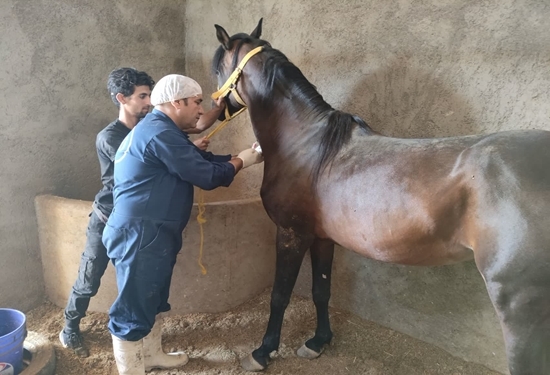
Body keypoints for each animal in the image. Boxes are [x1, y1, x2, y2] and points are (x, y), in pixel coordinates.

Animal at [211, 19, 550, 374]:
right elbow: (321, 289)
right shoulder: (322, 238)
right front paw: (318, 342)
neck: (306, 146)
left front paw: (262, 351)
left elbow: (280, 295)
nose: (216, 109)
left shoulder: (292, 233)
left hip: (518, 303)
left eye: (218, 67)